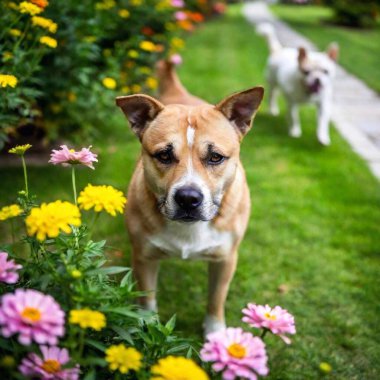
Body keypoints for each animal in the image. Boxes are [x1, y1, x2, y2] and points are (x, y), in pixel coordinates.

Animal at [116, 60, 264, 334]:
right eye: (163, 155)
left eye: (215, 157)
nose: (187, 198)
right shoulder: (143, 257)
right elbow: (147, 297)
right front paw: (148, 326)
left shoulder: (225, 260)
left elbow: (216, 298)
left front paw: (215, 332)